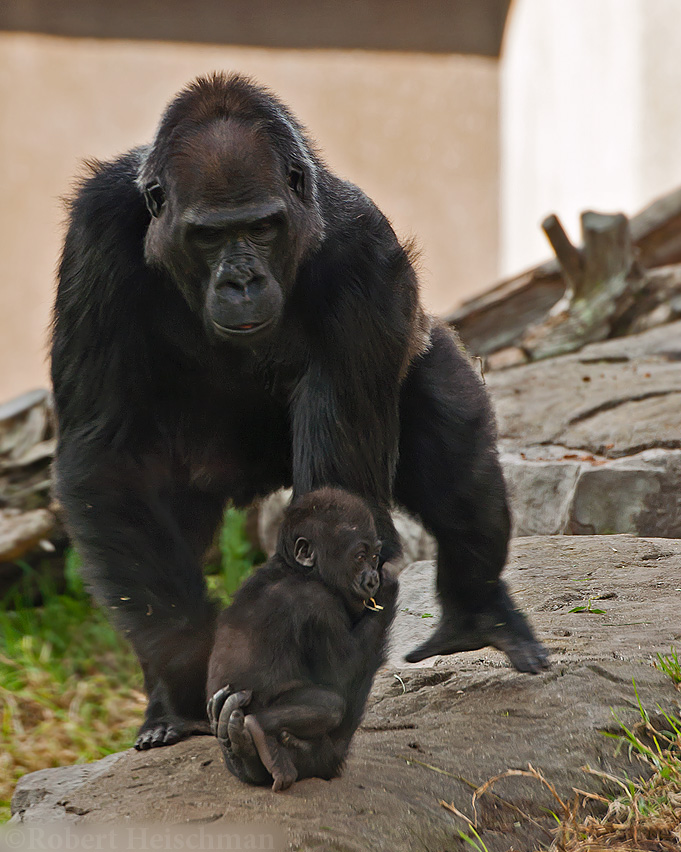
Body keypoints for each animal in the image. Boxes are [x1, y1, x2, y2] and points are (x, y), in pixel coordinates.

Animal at [51, 75, 548, 752]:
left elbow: (344, 504)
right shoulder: (95, 230)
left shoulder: (367, 253)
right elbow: (108, 456)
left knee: (459, 457)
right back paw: (166, 709)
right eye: (208, 236)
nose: (240, 282)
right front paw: (186, 663)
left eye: (261, 228)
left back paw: (477, 613)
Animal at [207, 486, 398, 792]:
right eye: (359, 557)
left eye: (374, 556)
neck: (298, 570)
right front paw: (389, 587)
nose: (372, 580)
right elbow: (340, 676)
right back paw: (262, 733)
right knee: (329, 704)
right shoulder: (320, 605)